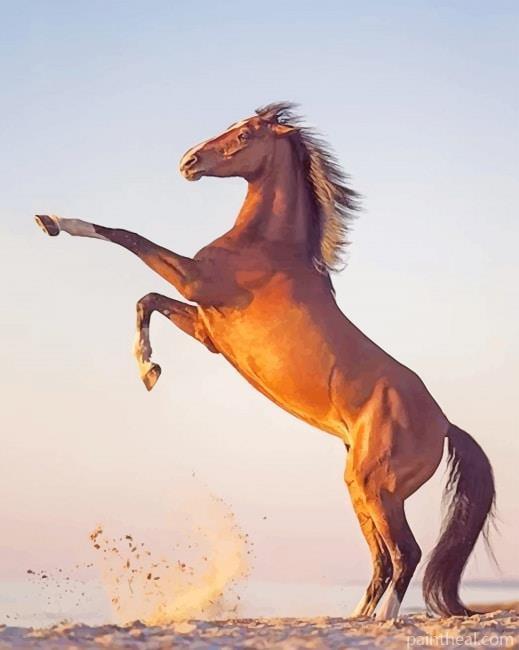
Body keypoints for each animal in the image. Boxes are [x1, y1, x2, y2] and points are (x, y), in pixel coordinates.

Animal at [35, 102, 495, 620]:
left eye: (246, 134)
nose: (188, 162)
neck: (267, 247)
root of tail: (445, 423)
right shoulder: (208, 329)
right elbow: (145, 300)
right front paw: (148, 370)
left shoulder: (195, 282)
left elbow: (126, 236)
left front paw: (51, 221)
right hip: (360, 487)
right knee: (381, 558)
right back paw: (356, 616)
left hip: (377, 486)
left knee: (405, 553)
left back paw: (383, 620)